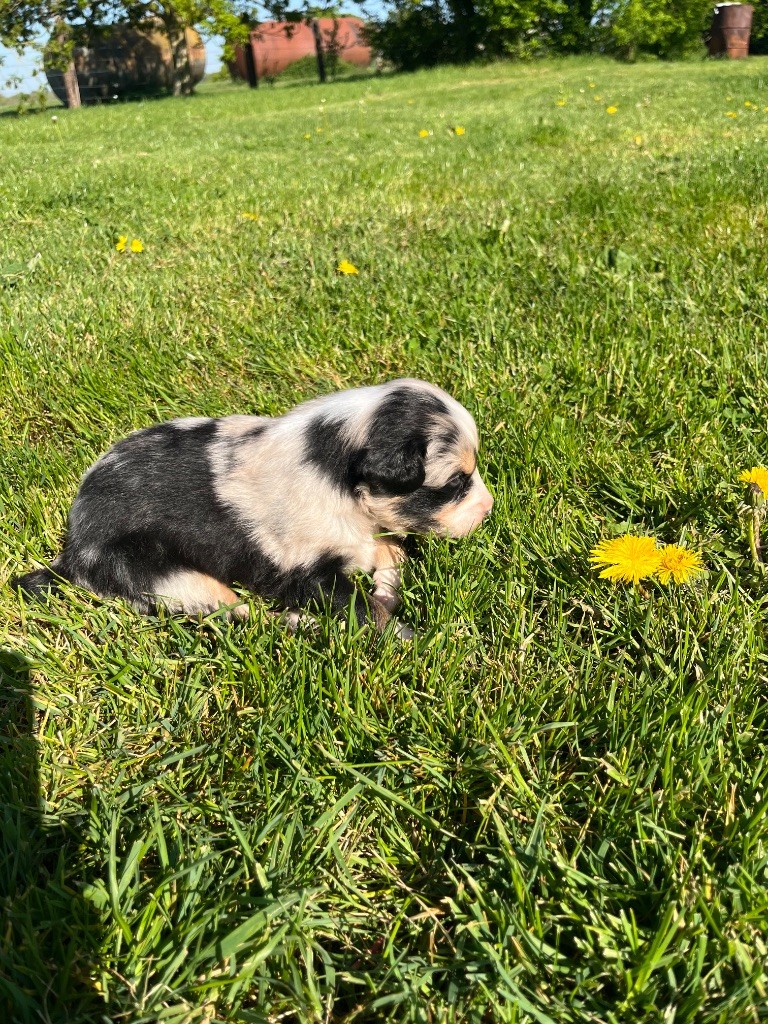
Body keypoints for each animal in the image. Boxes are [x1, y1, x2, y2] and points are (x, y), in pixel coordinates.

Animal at [13, 379, 493, 637]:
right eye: (455, 483)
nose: (488, 510)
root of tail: (71, 553)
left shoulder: (359, 536)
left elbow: (393, 552)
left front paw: (389, 588)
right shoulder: (311, 573)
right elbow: (364, 611)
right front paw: (404, 637)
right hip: (171, 579)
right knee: (242, 617)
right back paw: (300, 624)